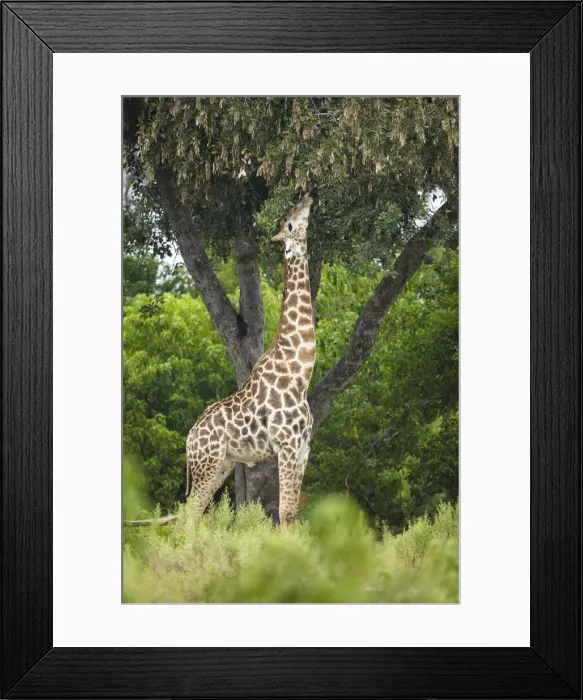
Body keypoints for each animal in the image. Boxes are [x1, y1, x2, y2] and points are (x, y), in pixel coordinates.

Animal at [185, 193, 316, 524]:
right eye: (289, 223)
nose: (306, 197)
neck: (301, 372)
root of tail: (188, 440)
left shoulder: (304, 448)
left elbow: (293, 513)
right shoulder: (286, 444)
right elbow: (285, 512)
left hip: (222, 465)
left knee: (190, 514)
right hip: (207, 466)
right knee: (187, 515)